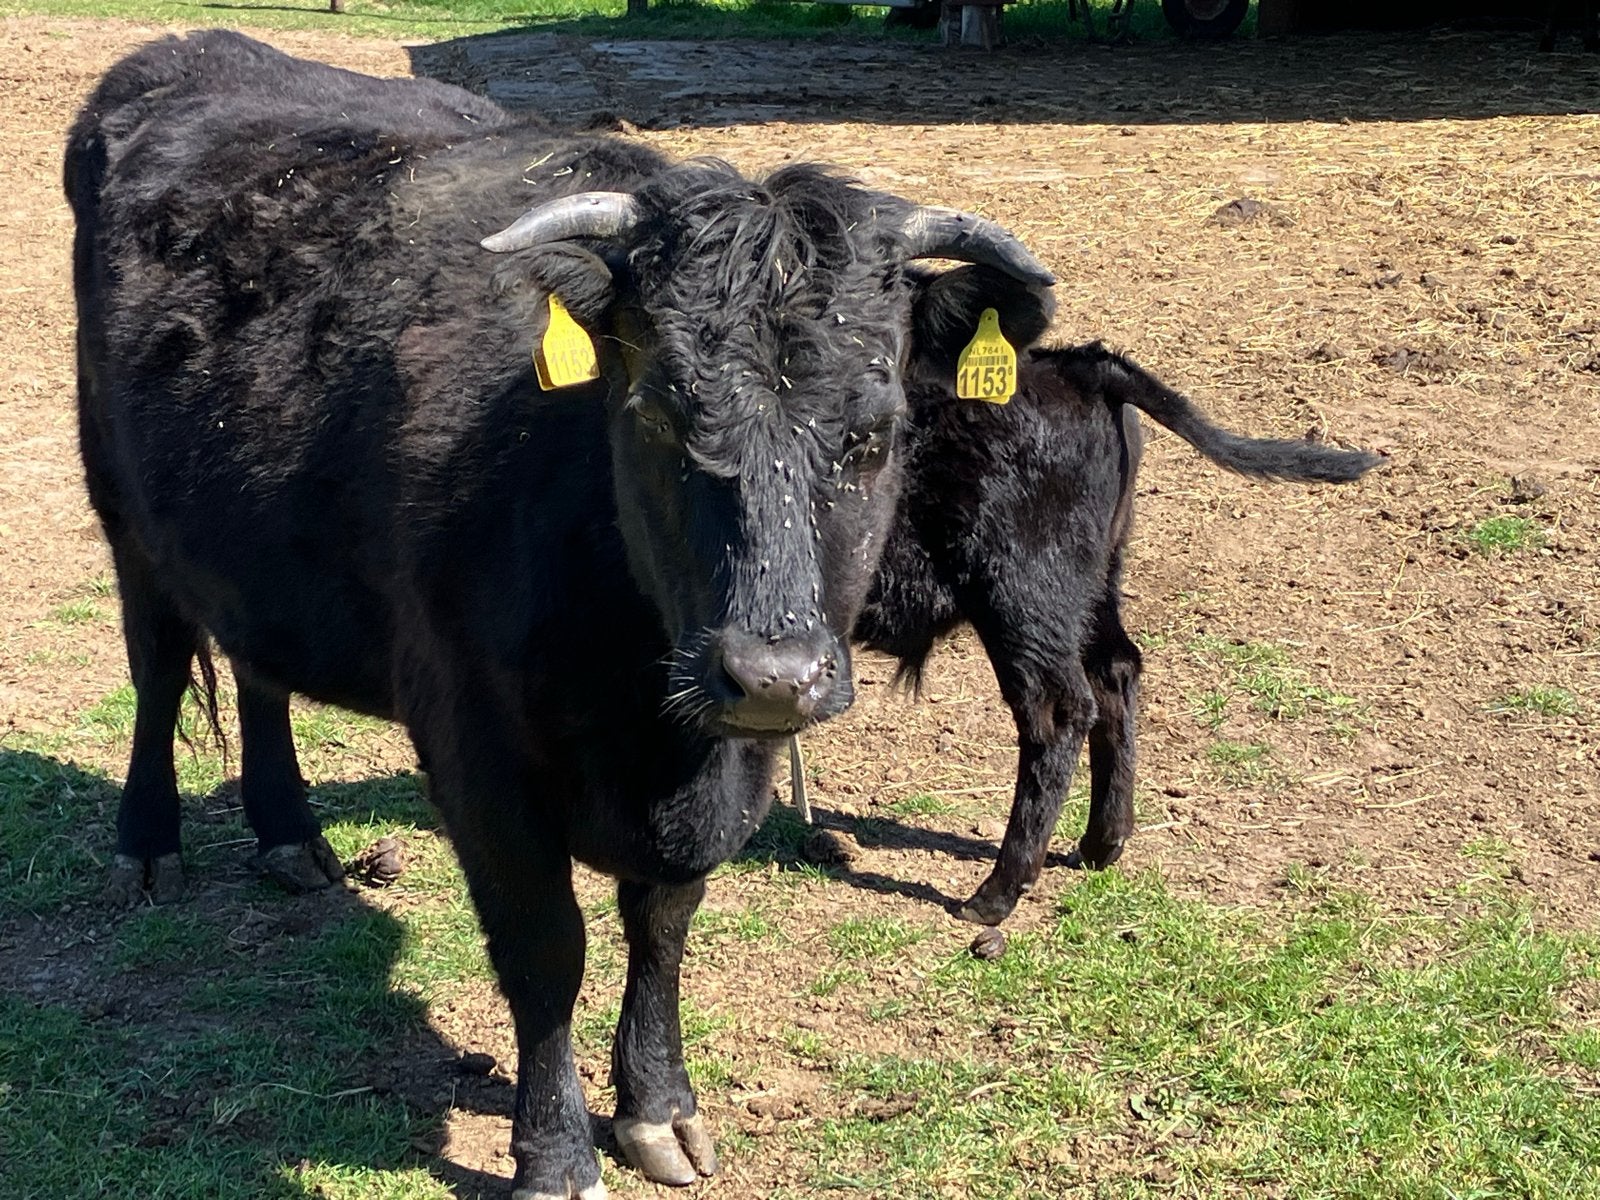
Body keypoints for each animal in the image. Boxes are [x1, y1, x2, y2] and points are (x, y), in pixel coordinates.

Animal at [65, 31, 1056, 1198]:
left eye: (877, 431)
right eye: (660, 411)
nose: (771, 675)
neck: (647, 716)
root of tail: (191, 49)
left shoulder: (722, 773)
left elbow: (662, 925)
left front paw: (658, 1109)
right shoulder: (475, 749)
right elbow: (546, 950)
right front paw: (556, 1151)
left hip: (248, 538)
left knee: (260, 670)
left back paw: (290, 835)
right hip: (125, 510)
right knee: (158, 667)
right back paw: (146, 846)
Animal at [853, 342, 1380, 926]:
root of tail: (1076, 365)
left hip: (1023, 600)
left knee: (1058, 712)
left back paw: (997, 893)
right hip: (1093, 590)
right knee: (1116, 672)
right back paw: (1099, 844)